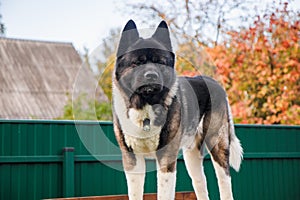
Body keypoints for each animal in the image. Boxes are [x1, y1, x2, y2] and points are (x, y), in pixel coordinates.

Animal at [111, 19, 243, 200]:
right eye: (138, 63)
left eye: (160, 62)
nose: (151, 75)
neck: (146, 105)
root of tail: (215, 83)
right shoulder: (132, 160)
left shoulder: (166, 159)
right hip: (191, 156)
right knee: (201, 184)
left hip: (217, 145)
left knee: (224, 182)